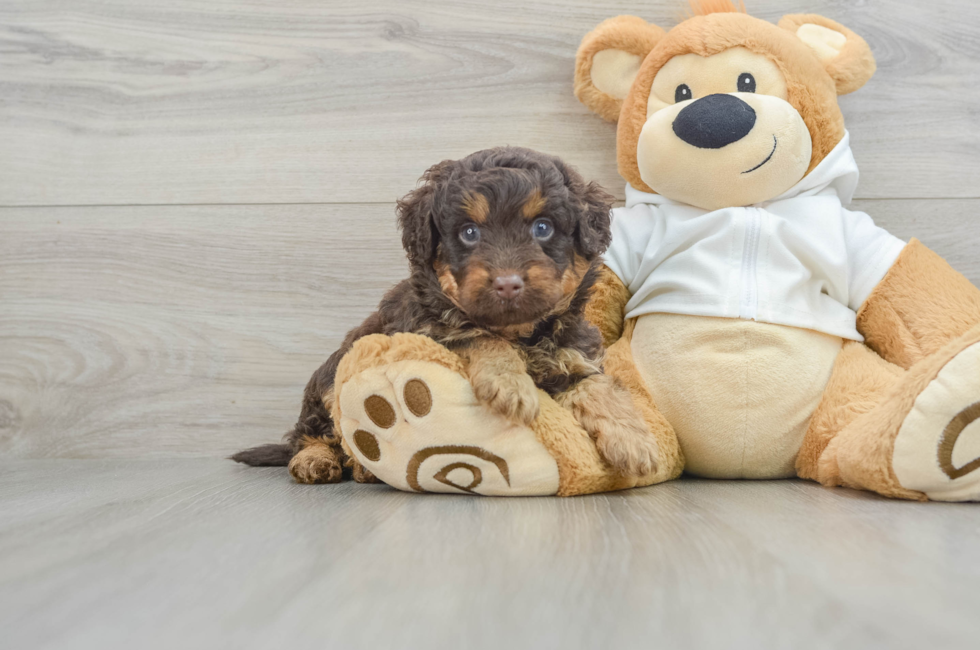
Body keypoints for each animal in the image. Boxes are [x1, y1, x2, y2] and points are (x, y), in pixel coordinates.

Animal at [232, 147, 660, 480]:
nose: (507, 284)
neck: (521, 333)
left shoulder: (572, 354)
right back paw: (318, 461)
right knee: (311, 433)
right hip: (328, 379)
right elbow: (478, 335)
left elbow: (599, 386)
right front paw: (511, 385)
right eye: (469, 233)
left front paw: (634, 441)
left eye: (543, 228)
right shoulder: (427, 330)